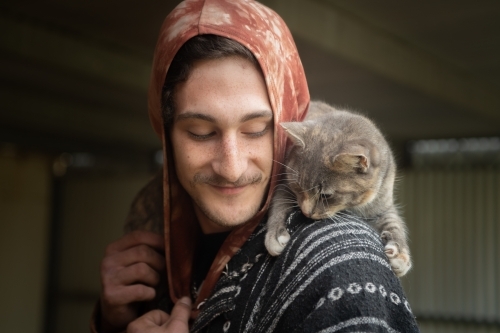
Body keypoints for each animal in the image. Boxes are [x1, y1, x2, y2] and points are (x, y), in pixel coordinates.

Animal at [264, 100, 412, 276]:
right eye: (298, 186)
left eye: (325, 195)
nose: (306, 212)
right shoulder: (284, 184)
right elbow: (279, 205)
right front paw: (276, 235)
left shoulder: (383, 203)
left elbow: (394, 222)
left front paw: (400, 255)